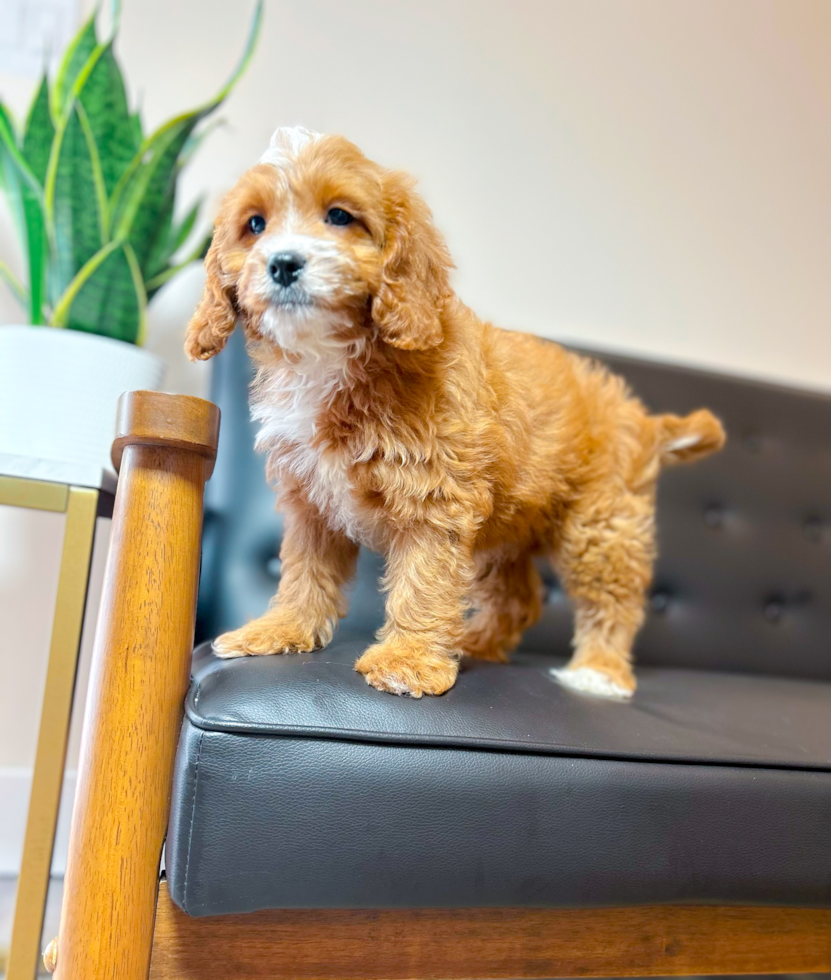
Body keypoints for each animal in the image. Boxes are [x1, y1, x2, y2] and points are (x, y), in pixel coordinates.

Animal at [185, 128, 724, 696]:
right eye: (255, 225)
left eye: (339, 216)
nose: (283, 263)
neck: (331, 356)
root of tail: (639, 415)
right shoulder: (312, 501)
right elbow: (303, 571)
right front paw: (280, 630)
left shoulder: (434, 494)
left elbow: (424, 578)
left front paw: (407, 661)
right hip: (509, 530)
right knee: (519, 598)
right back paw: (478, 643)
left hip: (601, 523)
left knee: (613, 599)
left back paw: (599, 671)